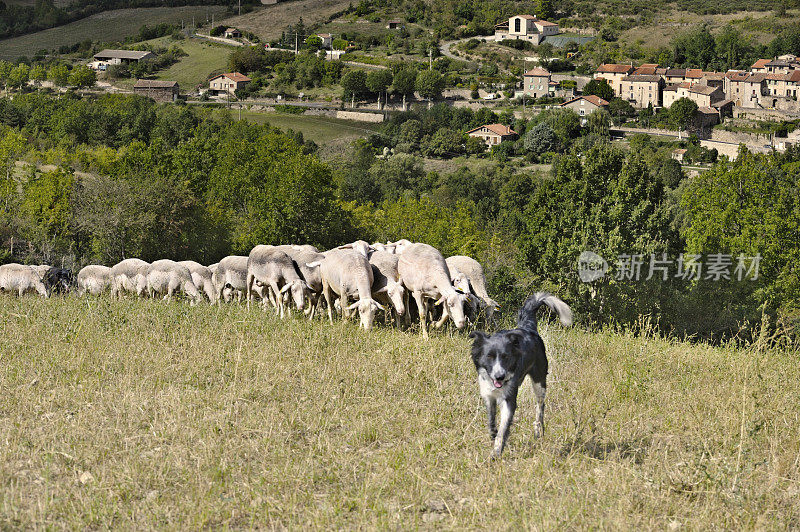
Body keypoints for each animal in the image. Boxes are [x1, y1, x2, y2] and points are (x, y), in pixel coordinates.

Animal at [466, 290, 572, 458]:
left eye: (505, 357)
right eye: (489, 356)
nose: (500, 376)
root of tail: (528, 328)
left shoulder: (509, 400)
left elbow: (503, 429)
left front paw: (497, 451)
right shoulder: (488, 395)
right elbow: (491, 420)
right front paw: (492, 433)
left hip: (539, 381)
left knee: (540, 406)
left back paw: (538, 430)